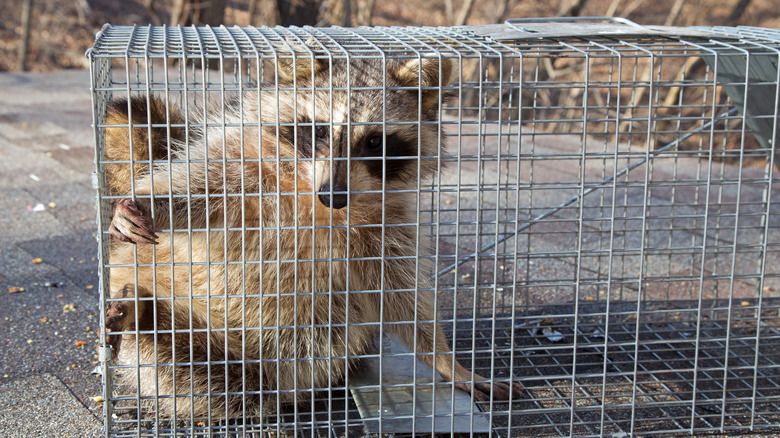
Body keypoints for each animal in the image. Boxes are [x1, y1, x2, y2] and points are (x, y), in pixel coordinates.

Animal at [102, 53, 522, 420]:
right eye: (320, 129)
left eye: (374, 141)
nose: (332, 194)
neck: (312, 196)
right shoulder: (246, 162)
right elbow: (195, 187)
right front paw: (148, 202)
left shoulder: (388, 223)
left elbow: (400, 293)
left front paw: (446, 360)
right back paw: (142, 311)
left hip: (281, 360)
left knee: (216, 374)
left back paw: (144, 314)